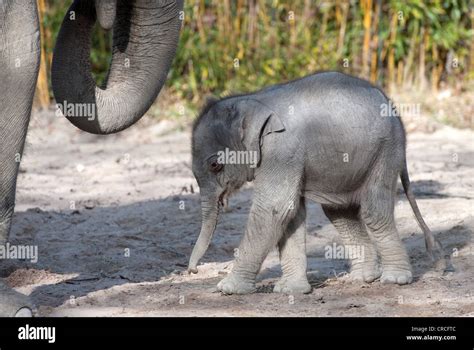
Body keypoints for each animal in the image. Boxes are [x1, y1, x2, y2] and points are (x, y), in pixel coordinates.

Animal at [188, 72, 444, 296]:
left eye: (215, 165)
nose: (193, 270)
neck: (251, 101)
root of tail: (394, 109)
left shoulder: (282, 150)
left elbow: (274, 208)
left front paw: (227, 289)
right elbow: (291, 214)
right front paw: (290, 291)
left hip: (385, 151)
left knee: (374, 211)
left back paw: (395, 280)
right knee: (340, 212)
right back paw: (362, 278)